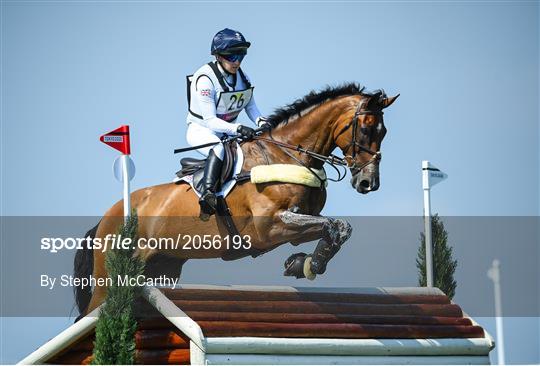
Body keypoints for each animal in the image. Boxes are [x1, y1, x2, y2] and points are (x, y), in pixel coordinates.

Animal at [74, 83, 398, 318]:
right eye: (365, 129)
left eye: (384, 132)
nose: (368, 183)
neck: (287, 154)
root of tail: (104, 219)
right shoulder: (270, 228)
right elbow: (334, 226)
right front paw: (309, 264)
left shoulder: (297, 225)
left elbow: (337, 227)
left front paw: (300, 263)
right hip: (108, 279)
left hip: (163, 268)